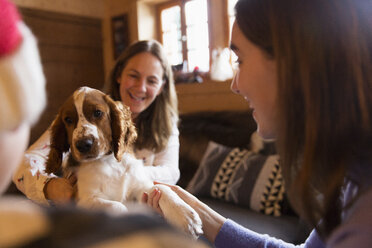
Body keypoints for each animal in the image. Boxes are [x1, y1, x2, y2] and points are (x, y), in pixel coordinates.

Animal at [45, 86, 205, 237]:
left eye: (97, 113)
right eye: (68, 120)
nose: (83, 144)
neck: (107, 162)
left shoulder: (139, 187)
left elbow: (161, 188)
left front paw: (186, 217)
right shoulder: (84, 200)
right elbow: (118, 207)